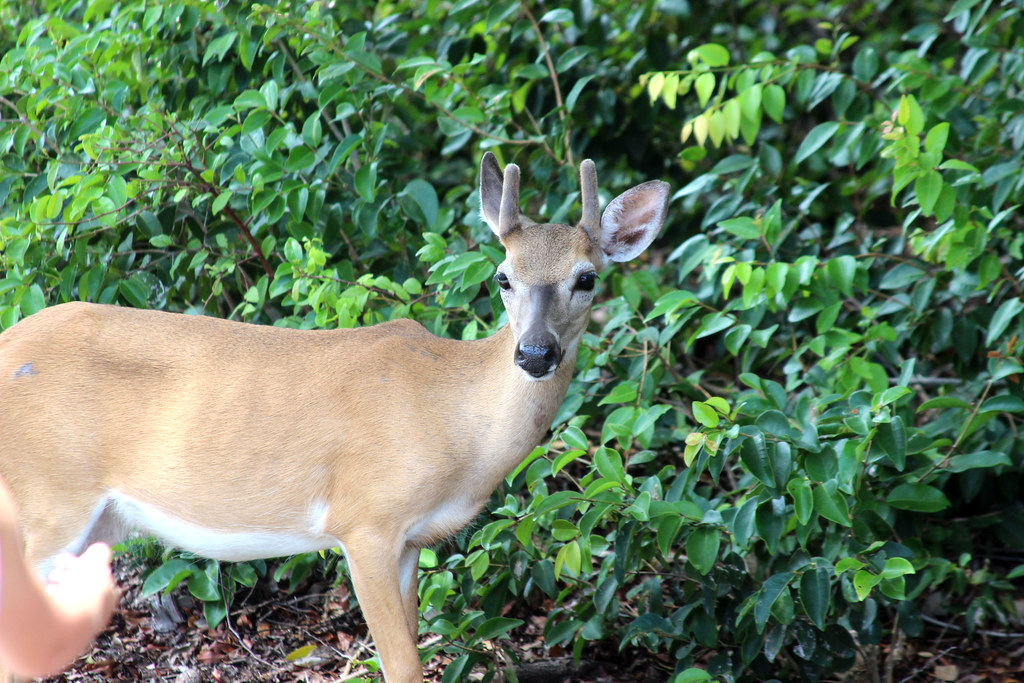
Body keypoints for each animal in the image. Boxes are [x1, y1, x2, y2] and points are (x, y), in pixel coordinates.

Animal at [0, 152, 669, 682]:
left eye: (587, 278)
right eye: (503, 277)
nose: (534, 353)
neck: (453, 420)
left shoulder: (409, 541)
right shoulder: (365, 519)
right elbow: (403, 667)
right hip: (48, 497)